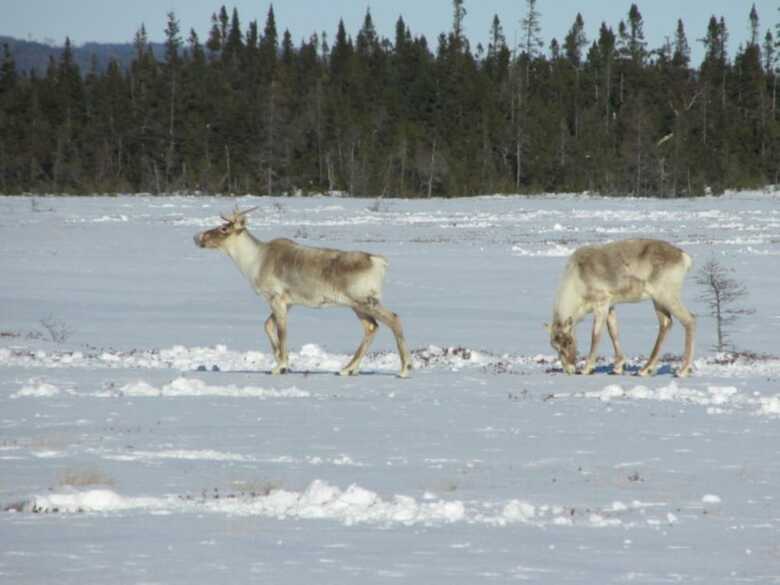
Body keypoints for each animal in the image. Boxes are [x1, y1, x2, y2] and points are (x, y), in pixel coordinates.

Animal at [194, 207, 413, 378]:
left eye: (224, 228)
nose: (198, 237)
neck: (253, 261)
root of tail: (379, 261)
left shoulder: (277, 299)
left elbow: (281, 332)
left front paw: (280, 366)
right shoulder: (288, 303)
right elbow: (268, 326)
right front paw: (283, 361)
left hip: (365, 300)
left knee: (393, 319)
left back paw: (404, 369)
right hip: (356, 305)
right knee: (371, 327)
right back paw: (347, 369)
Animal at [547, 239, 696, 377]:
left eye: (569, 341)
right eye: (556, 347)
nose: (570, 370)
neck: (577, 281)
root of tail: (684, 257)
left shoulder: (601, 303)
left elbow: (596, 335)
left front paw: (586, 369)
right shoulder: (610, 305)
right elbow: (613, 332)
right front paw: (618, 367)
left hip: (666, 295)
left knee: (689, 320)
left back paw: (682, 370)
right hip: (658, 300)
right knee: (666, 323)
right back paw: (644, 370)